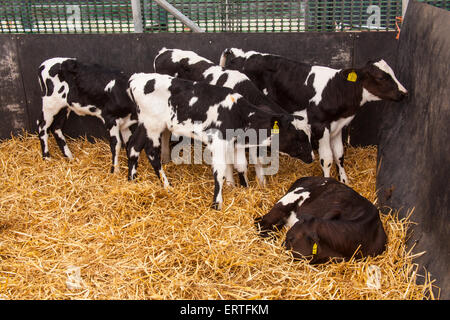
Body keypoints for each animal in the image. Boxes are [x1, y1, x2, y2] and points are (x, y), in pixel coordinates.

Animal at [125, 73, 312, 210]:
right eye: (298, 136)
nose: (311, 158)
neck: (239, 113)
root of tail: (137, 77)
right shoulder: (219, 142)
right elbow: (219, 171)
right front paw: (217, 203)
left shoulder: (234, 143)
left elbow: (240, 166)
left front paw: (243, 188)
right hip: (153, 125)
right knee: (151, 152)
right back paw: (166, 185)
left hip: (144, 123)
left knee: (133, 145)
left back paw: (132, 180)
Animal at [219, 47, 408, 182]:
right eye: (381, 77)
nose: (404, 93)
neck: (336, 89)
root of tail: (241, 55)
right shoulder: (320, 126)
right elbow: (327, 158)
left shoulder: (338, 127)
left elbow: (339, 155)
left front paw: (344, 181)